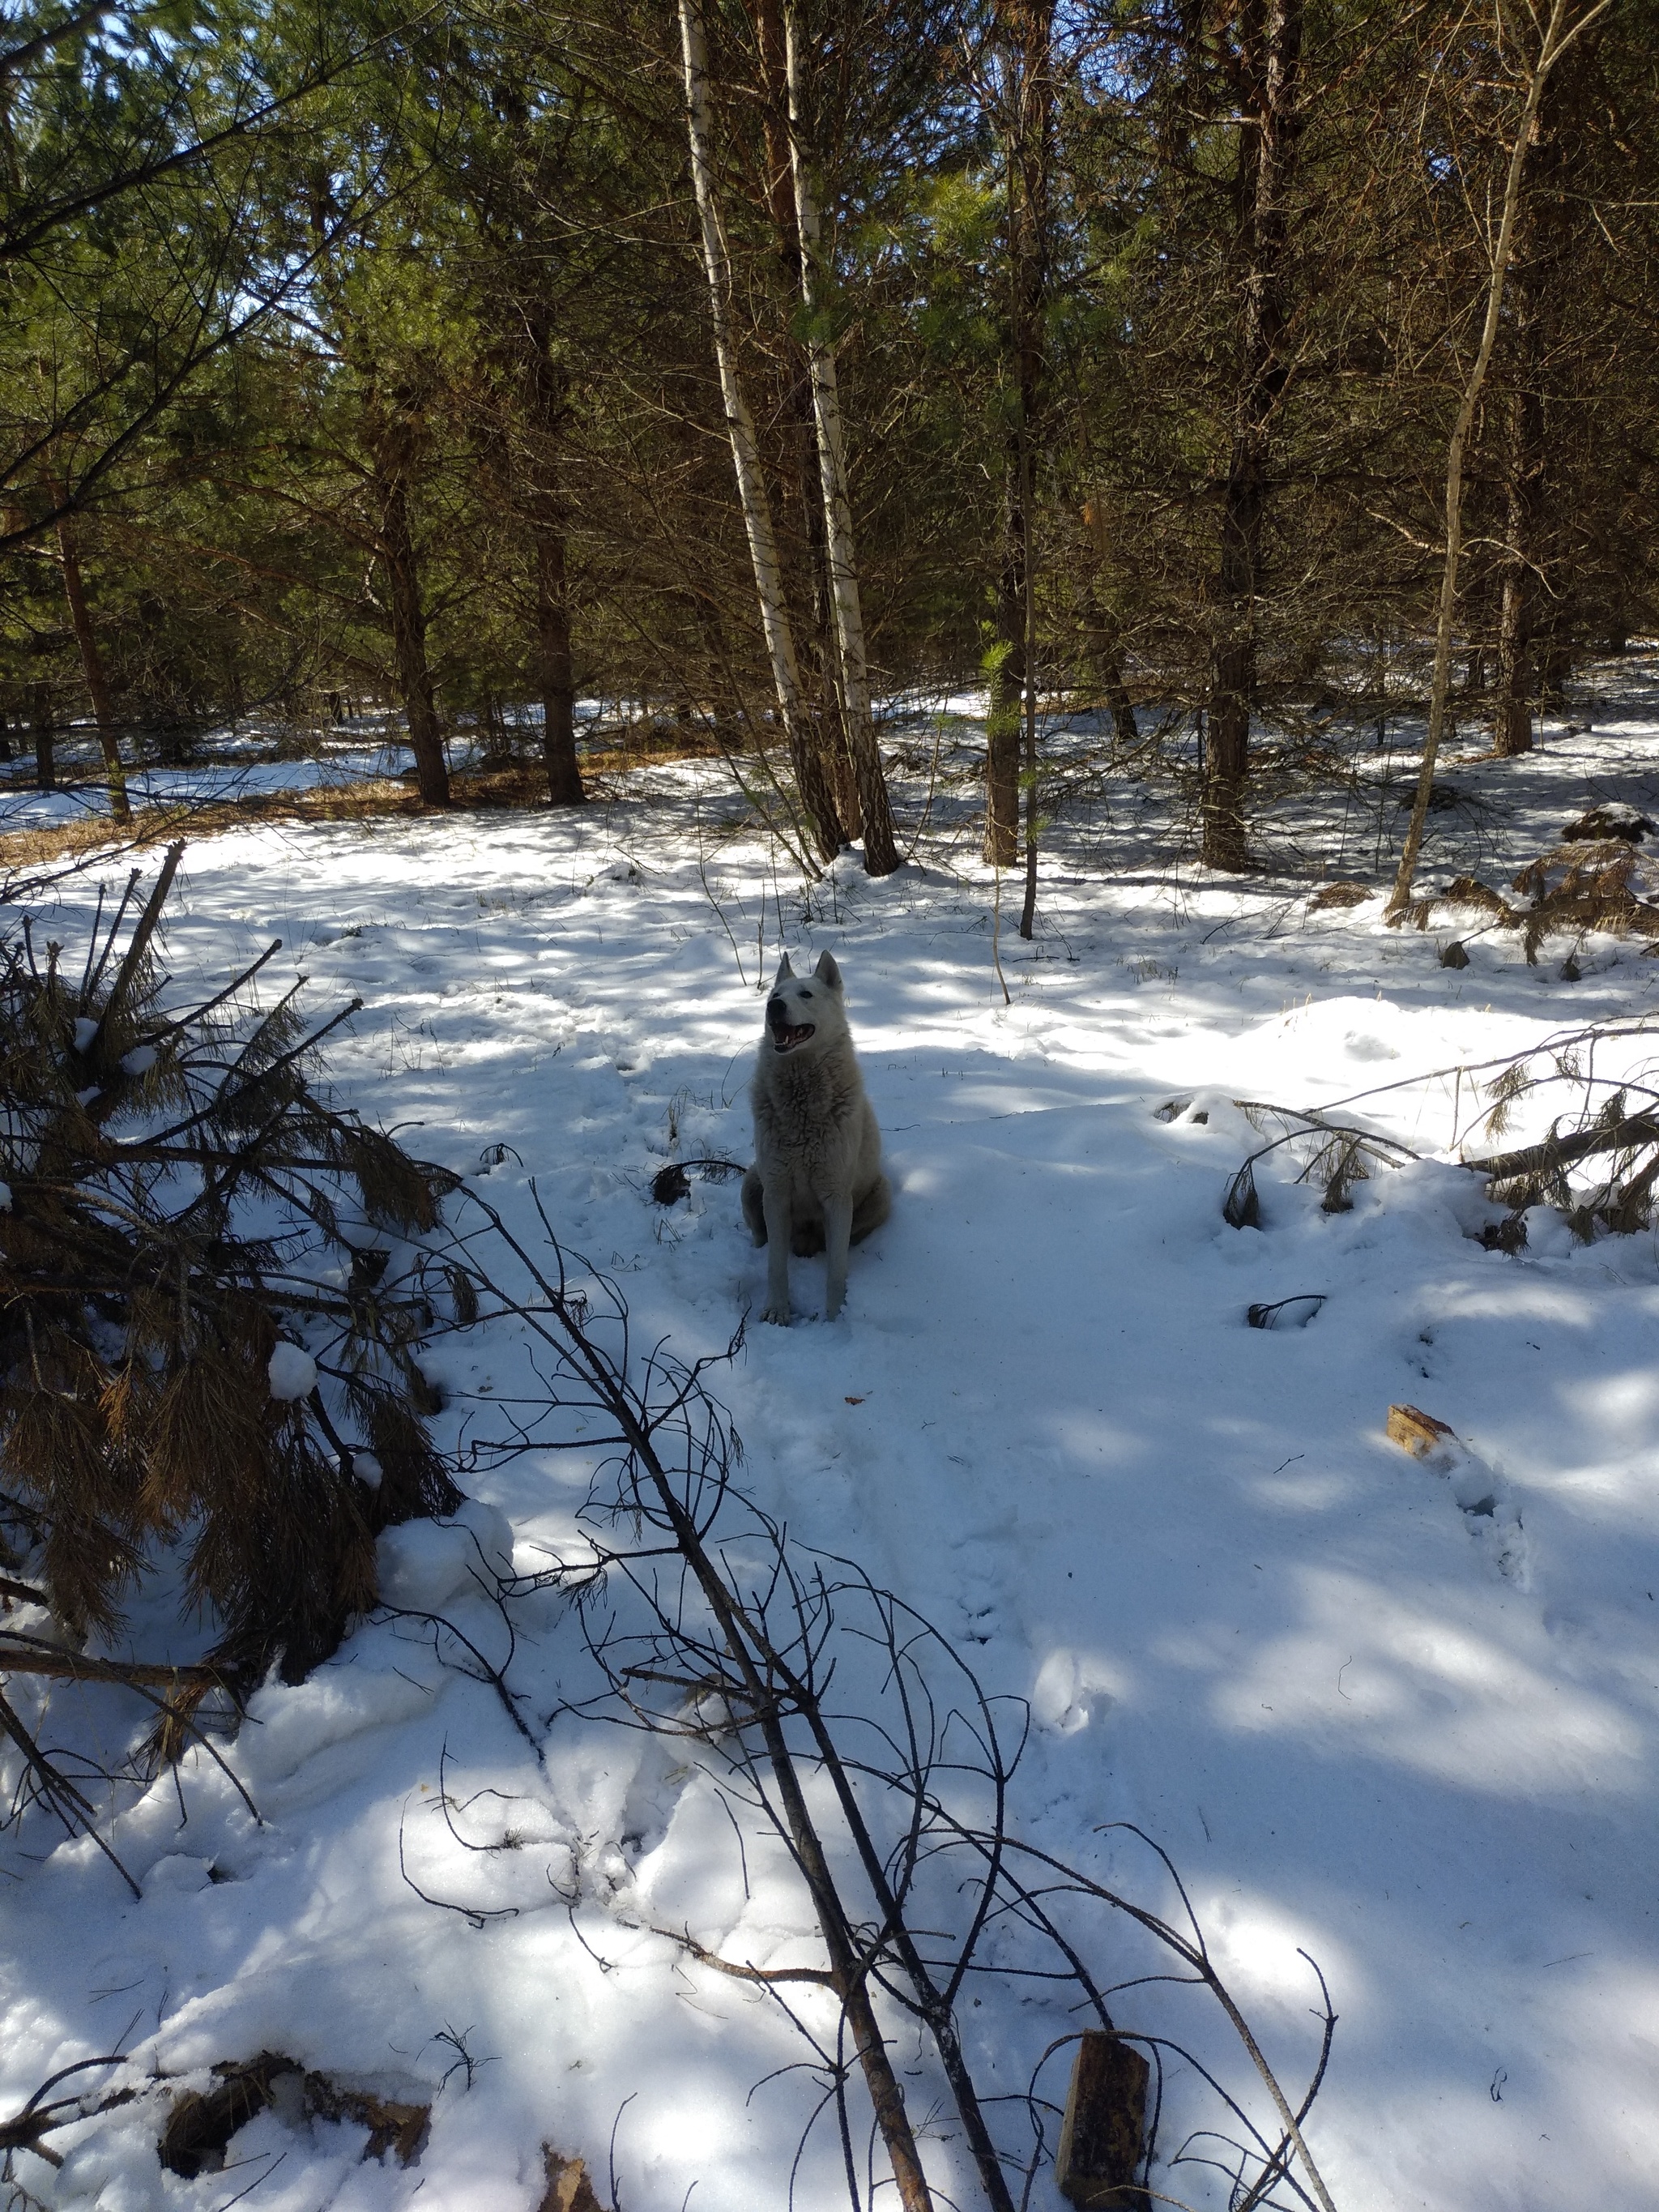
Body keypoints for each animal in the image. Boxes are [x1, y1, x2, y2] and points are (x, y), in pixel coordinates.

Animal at [743, 946, 889, 1318]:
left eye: (806, 995)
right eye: (775, 996)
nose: (774, 1008)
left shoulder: (836, 1197)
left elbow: (836, 1269)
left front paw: (835, 1316)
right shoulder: (776, 1192)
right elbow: (775, 1265)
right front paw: (777, 1311)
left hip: (881, 1195)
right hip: (751, 1181)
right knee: (761, 1239)